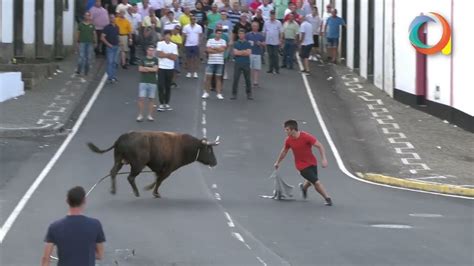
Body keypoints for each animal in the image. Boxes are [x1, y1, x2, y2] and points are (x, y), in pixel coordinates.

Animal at [88, 131, 219, 197]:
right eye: (209, 149)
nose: (215, 162)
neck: (183, 146)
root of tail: (121, 138)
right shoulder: (168, 170)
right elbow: (159, 180)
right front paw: (154, 192)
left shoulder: (159, 168)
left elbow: (157, 179)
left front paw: (151, 189)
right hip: (137, 165)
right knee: (130, 177)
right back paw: (136, 193)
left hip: (119, 161)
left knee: (113, 172)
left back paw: (113, 190)